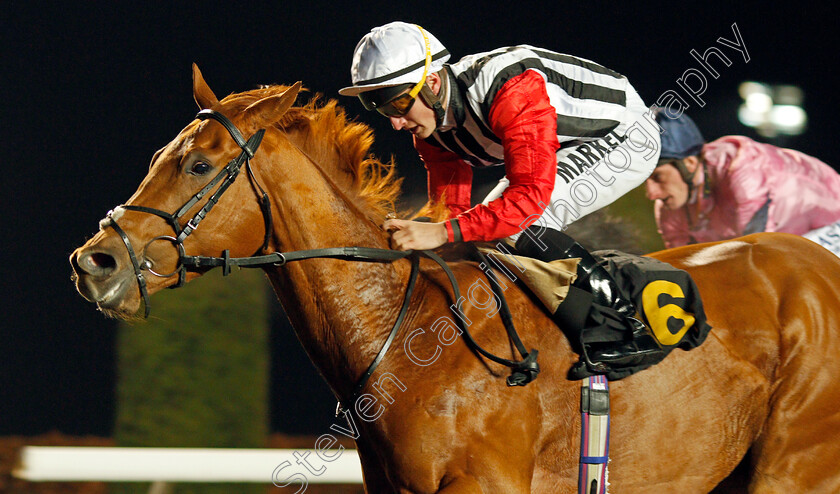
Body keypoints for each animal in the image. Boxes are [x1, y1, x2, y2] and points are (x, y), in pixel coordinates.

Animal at [70, 66, 840, 494]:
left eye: (198, 165)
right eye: (160, 156)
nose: (93, 263)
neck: (409, 332)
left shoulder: (485, 484)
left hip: (794, 467)